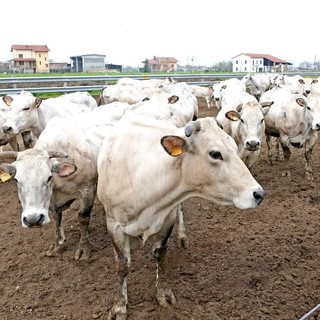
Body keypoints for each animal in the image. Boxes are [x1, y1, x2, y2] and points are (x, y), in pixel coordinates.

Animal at [0, 102, 131, 260]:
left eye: (48, 177)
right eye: (17, 180)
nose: (33, 220)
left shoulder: (88, 189)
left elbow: (83, 217)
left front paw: (84, 248)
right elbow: (56, 218)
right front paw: (58, 244)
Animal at [97, 115, 264, 318]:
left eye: (233, 145)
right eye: (215, 153)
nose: (258, 194)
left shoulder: (168, 218)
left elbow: (160, 254)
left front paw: (163, 294)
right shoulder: (113, 224)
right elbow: (123, 265)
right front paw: (119, 306)